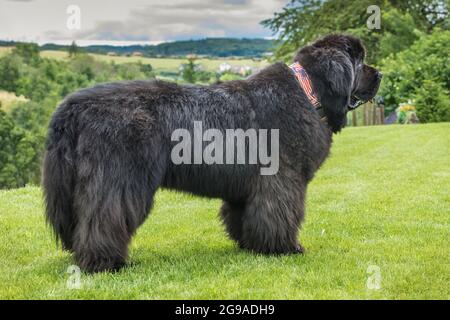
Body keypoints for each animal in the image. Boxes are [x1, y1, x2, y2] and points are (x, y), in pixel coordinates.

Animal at [43, 35, 380, 272]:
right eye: (360, 61)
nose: (379, 74)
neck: (308, 90)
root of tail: (74, 105)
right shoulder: (281, 179)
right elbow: (280, 214)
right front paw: (285, 247)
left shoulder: (248, 187)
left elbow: (243, 216)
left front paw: (249, 244)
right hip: (119, 181)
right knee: (103, 219)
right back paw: (107, 263)